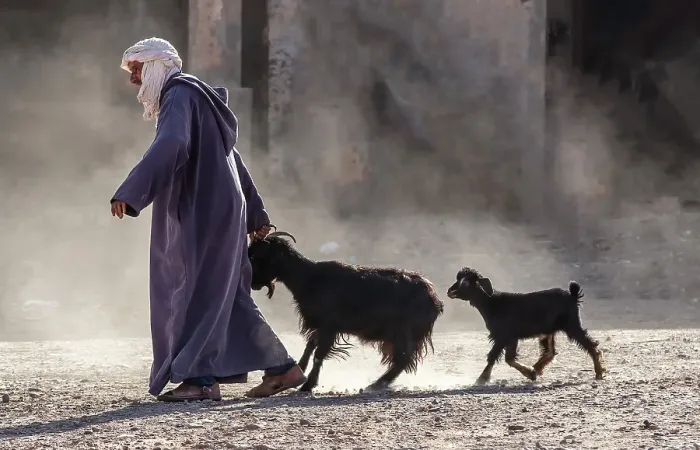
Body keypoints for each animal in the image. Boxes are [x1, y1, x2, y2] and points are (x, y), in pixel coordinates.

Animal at [248, 231, 444, 392]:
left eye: (257, 255)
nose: (252, 282)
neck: (311, 278)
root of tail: (435, 299)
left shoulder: (329, 325)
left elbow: (319, 353)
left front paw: (308, 385)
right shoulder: (320, 324)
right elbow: (310, 346)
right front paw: (300, 372)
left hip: (404, 330)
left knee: (403, 359)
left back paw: (375, 384)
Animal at [446, 267, 606, 385]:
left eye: (466, 283)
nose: (449, 291)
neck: (492, 303)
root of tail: (573, 296)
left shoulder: (504, 336)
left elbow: (496, 357)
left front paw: (481, 379)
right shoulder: (509, 337)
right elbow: (507, 358)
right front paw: (531, 373)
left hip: (572, 324)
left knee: (590, 345)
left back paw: (599, 372)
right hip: (549, 329)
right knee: (550, 351)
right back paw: (537, 368)